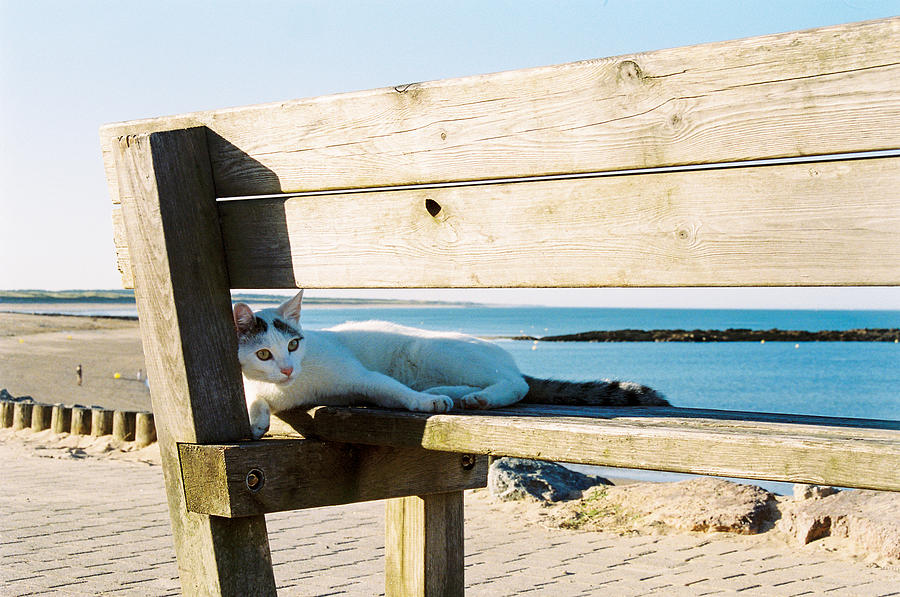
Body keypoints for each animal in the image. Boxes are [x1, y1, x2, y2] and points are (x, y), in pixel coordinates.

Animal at [234, 292, 668, 438]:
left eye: (294, 344)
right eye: (263, 354)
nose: (287, 369)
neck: (292, 389)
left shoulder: (362, 377)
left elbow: (390, 388)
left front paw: (423, 406)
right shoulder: (261, 388)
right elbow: (255, 399)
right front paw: (255, 421)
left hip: (437, 352)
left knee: (518, 385)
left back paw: (470, 398)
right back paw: (452, 396)